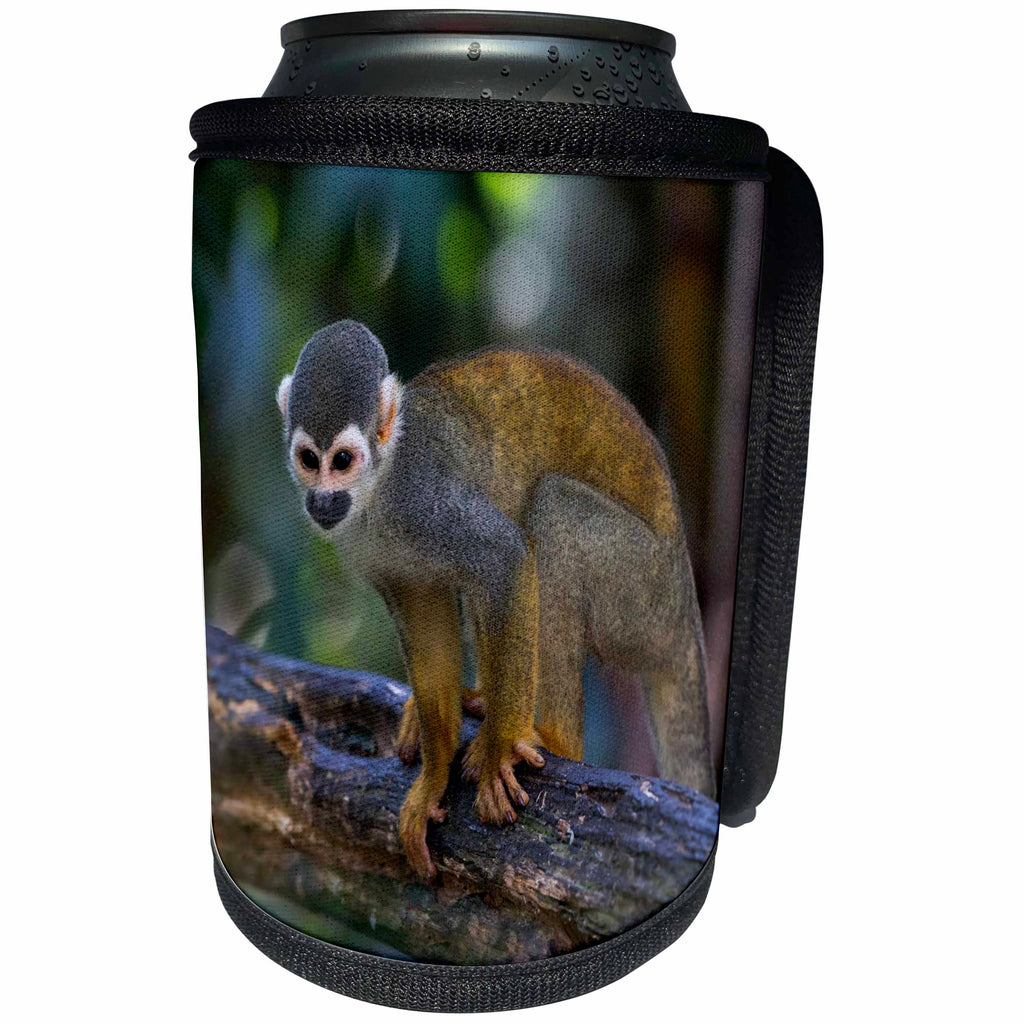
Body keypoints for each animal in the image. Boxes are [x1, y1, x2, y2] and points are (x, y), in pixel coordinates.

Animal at [276, 319, 714, 880]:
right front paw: (434, 776)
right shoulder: (371, 548)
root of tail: (685, 609)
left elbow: (504, 556)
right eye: (310, 461)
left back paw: (549, 735)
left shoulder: (425, 498)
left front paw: (501, 748)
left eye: (343, 461)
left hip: (643, 594)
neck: (378, 490)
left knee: (553, 511)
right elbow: (422, 608)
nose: (323, 500)